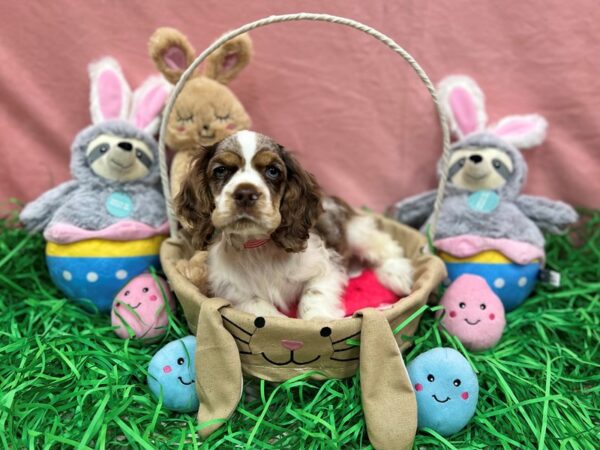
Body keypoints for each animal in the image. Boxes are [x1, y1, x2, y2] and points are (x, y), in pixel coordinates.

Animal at [173, 130, 412, 320]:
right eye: (221, 170)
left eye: (272, 171)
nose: (245, 193)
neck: (257, 247)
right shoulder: (233, 292)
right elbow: (260, 309)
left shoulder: (327, 268)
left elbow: (312, 296)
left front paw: (318, 321)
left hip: (355, 232)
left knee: (385, 246)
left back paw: (398, 274)